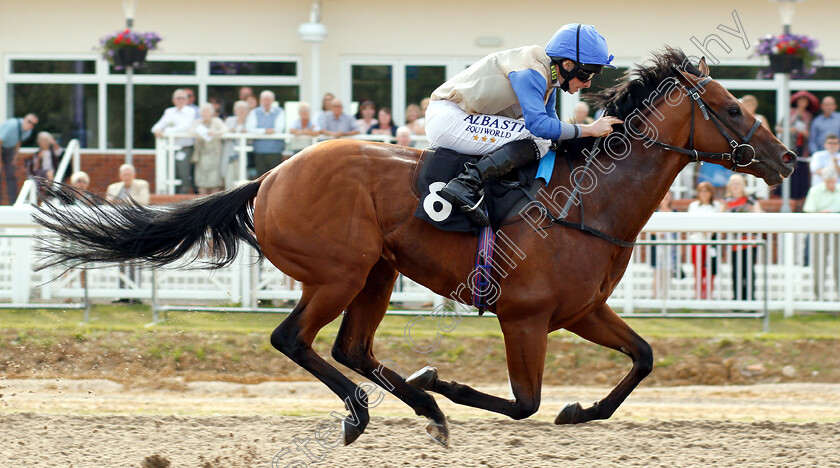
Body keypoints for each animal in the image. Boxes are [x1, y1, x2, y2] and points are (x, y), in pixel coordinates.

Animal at [34, 49, 796, 448]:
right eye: (733, 107)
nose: (788, 160)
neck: (586, 202)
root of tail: (271, 176)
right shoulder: (523, 318)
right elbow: (523, 402)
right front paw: (445, 385)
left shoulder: (580, 312)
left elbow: (642, 357)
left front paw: (580, 411)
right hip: (338, 274)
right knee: (294, 340)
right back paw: (372, 410)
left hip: (376, 273)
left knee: (351, 348)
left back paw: (415, 409)